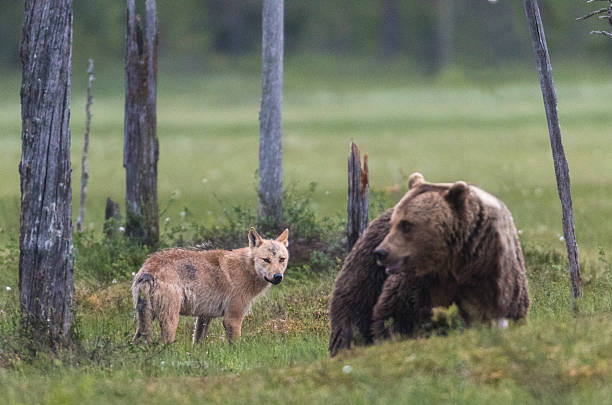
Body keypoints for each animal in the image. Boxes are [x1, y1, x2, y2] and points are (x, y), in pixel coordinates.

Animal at [328, 172, 528, 356]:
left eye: (406, 224)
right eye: (395, 223)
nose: (381, 253)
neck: (451, 265)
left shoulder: (491, 276)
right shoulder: (418, 283)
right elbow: (395, 315)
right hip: (366, 270)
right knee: (352, 308)